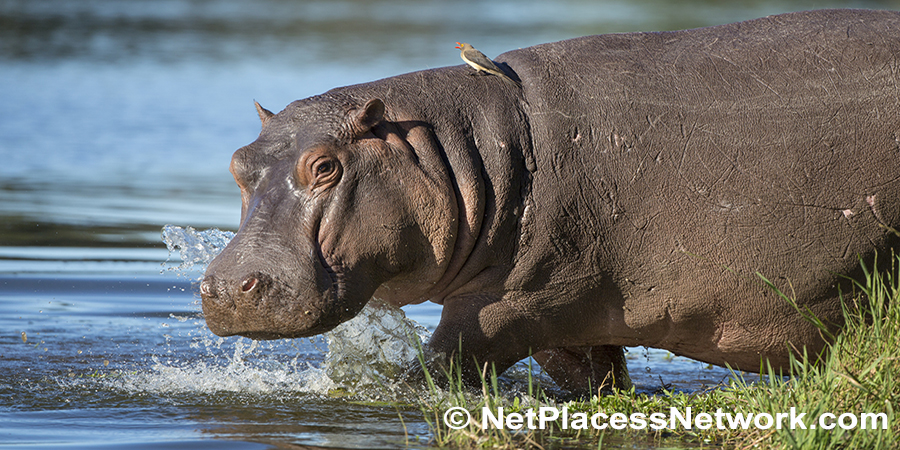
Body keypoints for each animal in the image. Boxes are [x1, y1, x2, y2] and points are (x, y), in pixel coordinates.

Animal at [200, 9, 900, 394]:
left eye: (325, 165)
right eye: (237, 163)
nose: (231, 286)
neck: (462, 149)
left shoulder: (510, 306)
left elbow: (432, 370)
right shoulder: (570, 318)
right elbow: (595, 378)